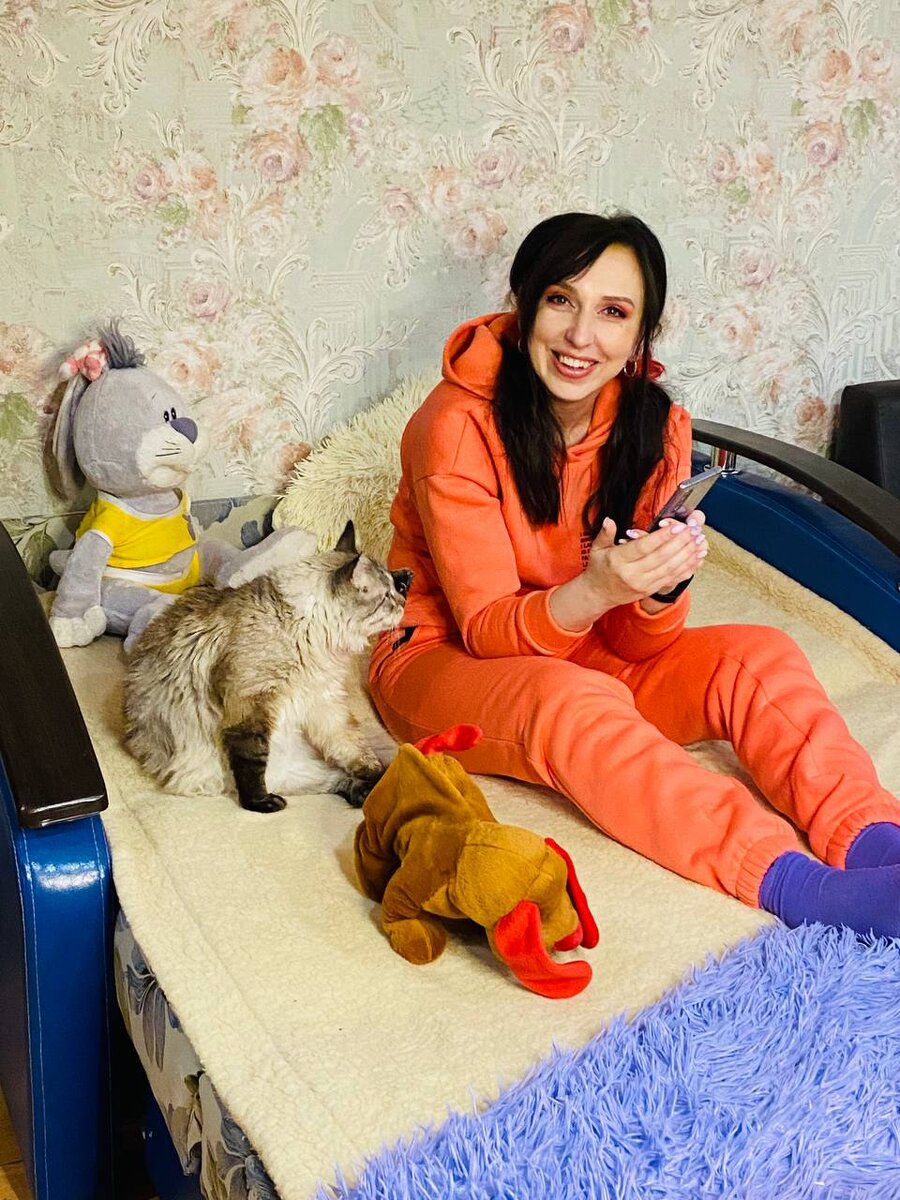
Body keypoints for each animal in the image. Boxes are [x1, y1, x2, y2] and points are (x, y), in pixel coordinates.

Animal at [123, 521, 412, 813]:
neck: (314, 637)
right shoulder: (251, 707)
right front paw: (259, 803)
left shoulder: (325, 704)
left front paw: (375, 773)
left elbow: (354, 750)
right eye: (387, 596)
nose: (403, 604)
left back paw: (374, 791)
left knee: (340, 776)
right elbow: (251, 761)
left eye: (395, 592)